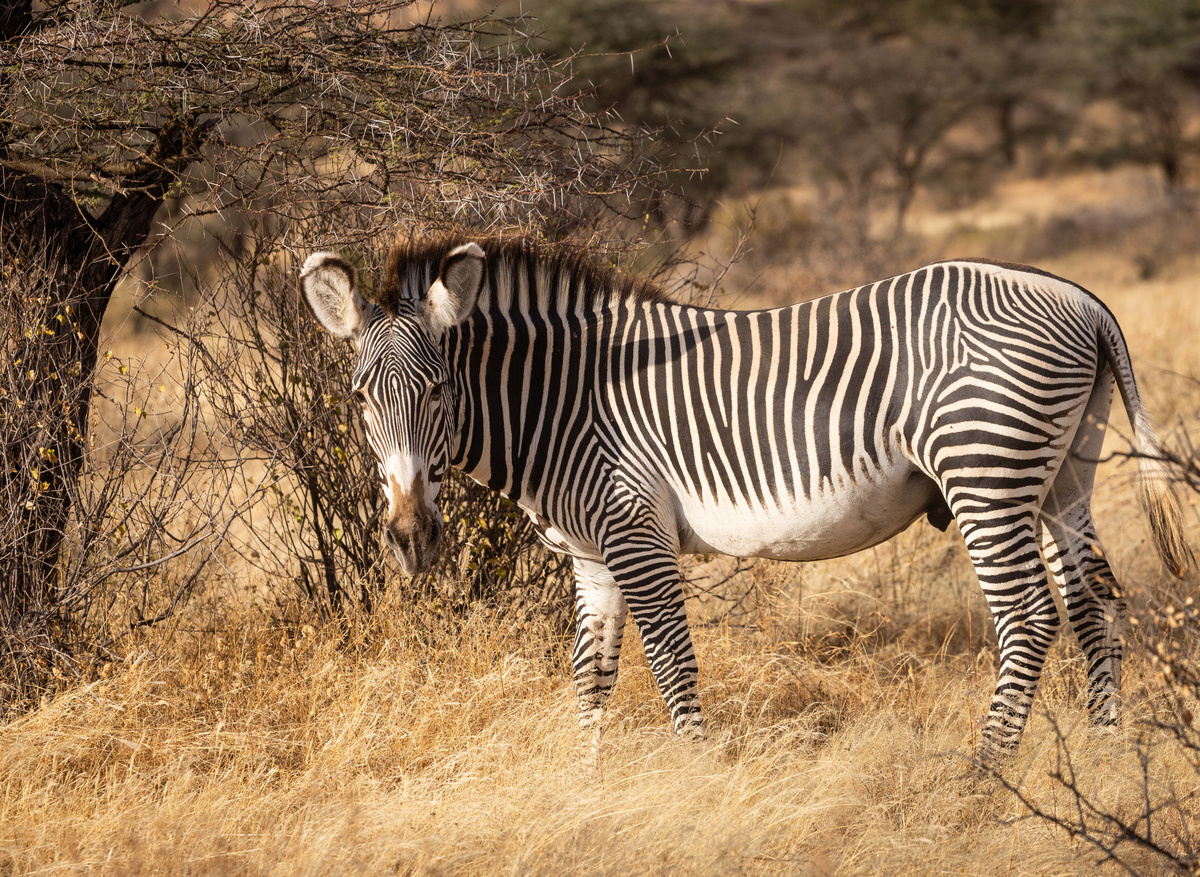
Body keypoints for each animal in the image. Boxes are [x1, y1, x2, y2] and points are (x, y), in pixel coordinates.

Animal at [299, 234, 1192, 764]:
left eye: (440, 389)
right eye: (358, 398)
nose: (411, 537)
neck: (564, 401)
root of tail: (1080, 299)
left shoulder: (635, 532)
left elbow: (669, 662)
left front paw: (696, 777)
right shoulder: (592, 557)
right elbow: (590, 678)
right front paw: (585, 779)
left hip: (986, 471)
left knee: (1031, 617)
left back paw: (986, 773)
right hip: (1061, 477)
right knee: (1097, 605)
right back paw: (1106, 754)